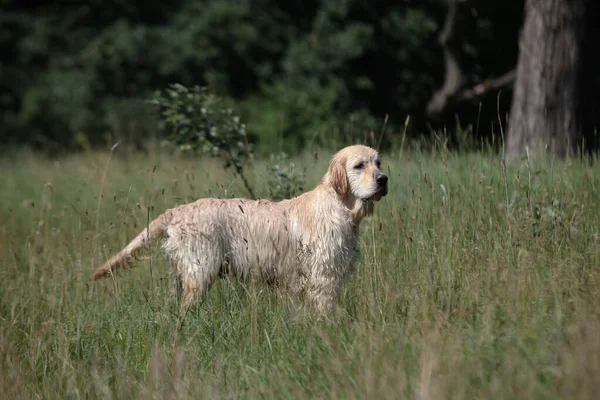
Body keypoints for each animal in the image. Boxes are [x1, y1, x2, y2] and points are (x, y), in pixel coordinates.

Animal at [91, 145, 386, 316]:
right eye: (359, 166)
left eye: (378, 163)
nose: (383, 179)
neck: (341, 206)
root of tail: (179, 211)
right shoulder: (324, 277)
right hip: (200, 273)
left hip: (181, 275)